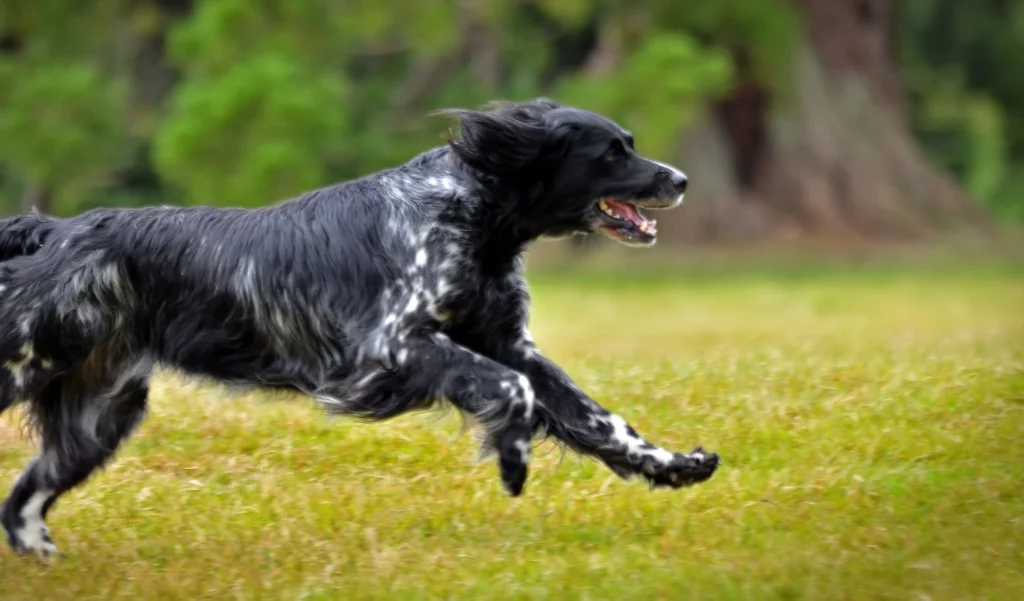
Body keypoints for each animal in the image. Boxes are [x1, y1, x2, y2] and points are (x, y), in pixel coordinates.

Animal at [2, 98, 720, 561]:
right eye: (612, 151)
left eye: (629, 144)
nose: (682, 179)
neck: (470, 213)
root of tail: (56, 231)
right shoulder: (394, 345)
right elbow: (510, 390)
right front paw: (513, 458)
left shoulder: (507, 342)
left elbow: (598, 418)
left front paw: (676, 465)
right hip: (31, 364)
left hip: (100, 415)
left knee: (21, 504)